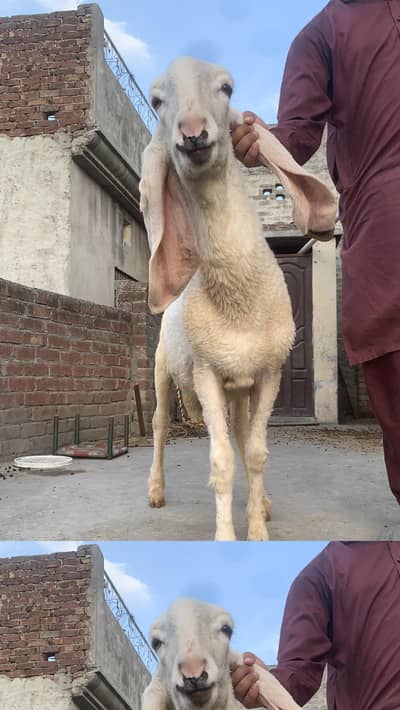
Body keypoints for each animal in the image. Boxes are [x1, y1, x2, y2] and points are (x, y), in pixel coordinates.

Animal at [139, 57, 337, 541]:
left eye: (226, 88)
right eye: (156, 100)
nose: (193, 133)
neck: (239, 302)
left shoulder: (267, 373)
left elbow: (255, 451)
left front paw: (259, 525)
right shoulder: (207, 374)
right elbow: (221, 460)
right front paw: (227, 535)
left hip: (240, 388)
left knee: (242, 433)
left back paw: (259, 503)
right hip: (164, 367)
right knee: (159, 424)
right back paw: (155, 491)